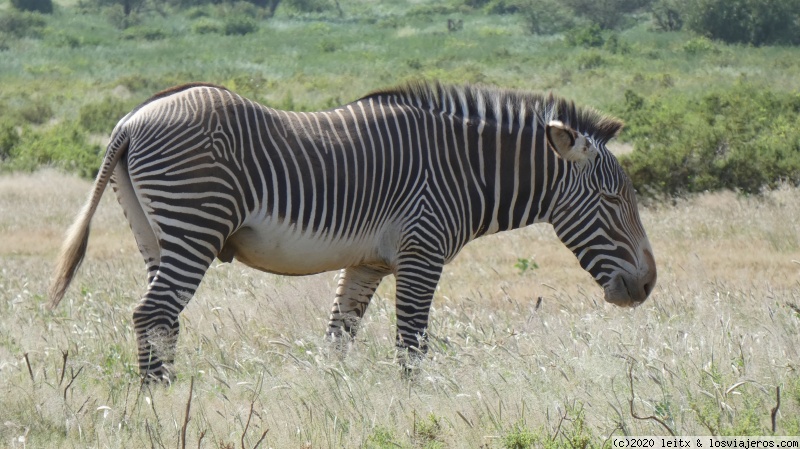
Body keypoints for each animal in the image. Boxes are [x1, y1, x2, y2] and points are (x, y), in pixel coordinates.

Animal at [51, 81, 656, 382]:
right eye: (612, 201)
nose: (648, 285)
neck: (464, 171)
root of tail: (130, 120)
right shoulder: (421, 251)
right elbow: (412, 347)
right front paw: (413, 409)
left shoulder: (367, 262)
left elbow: (338, 338)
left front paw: (335, 401)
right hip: (195, 221)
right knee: (150, 313)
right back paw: (159, 398)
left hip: (154, 232)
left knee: (163, 318)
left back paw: (167, 392)